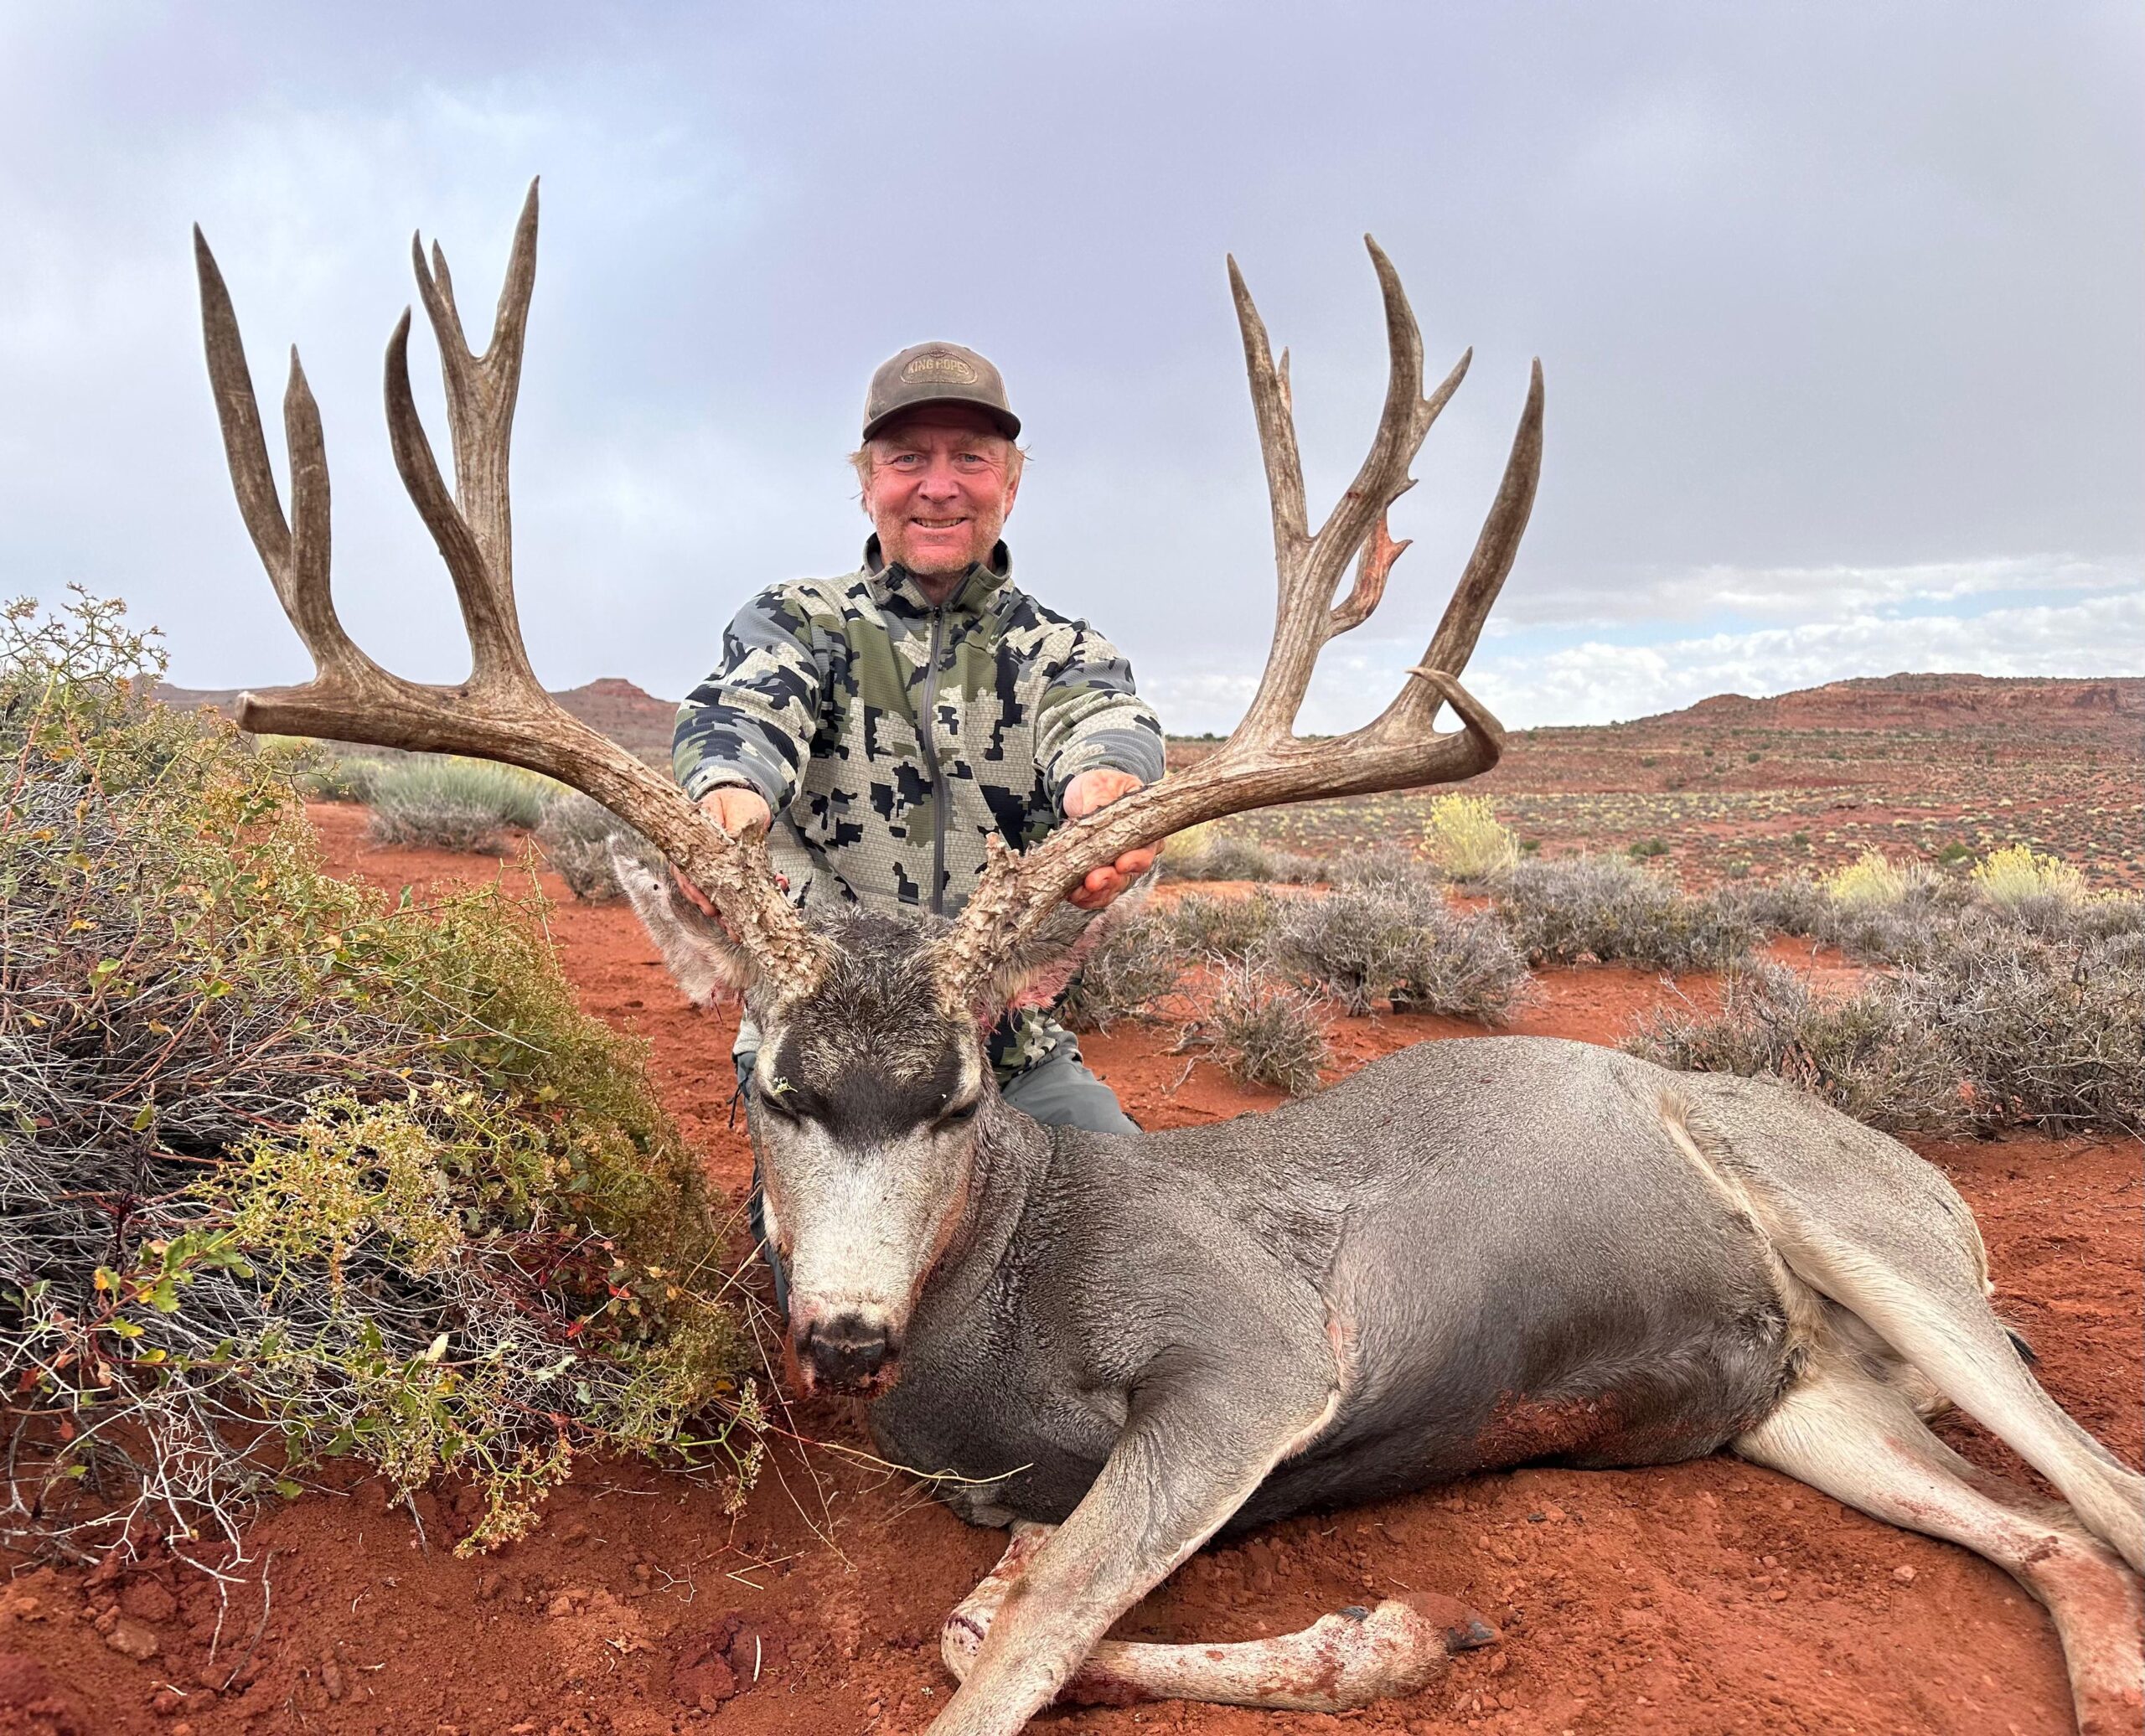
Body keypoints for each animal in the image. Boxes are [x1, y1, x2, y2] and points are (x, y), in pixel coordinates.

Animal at [192, 184, 2143, 1736]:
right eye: (762, 1081)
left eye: (958, 1091)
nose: (839, 1333)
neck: (1004, 1305)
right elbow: (992, 1613)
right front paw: (1392, 1627)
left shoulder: (1256, 1358)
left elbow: (1014, 1645)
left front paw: (1373, 1628)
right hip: (1802, 1400)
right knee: (2058, 1536)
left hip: (1866, 1233)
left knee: (2103, 1485)